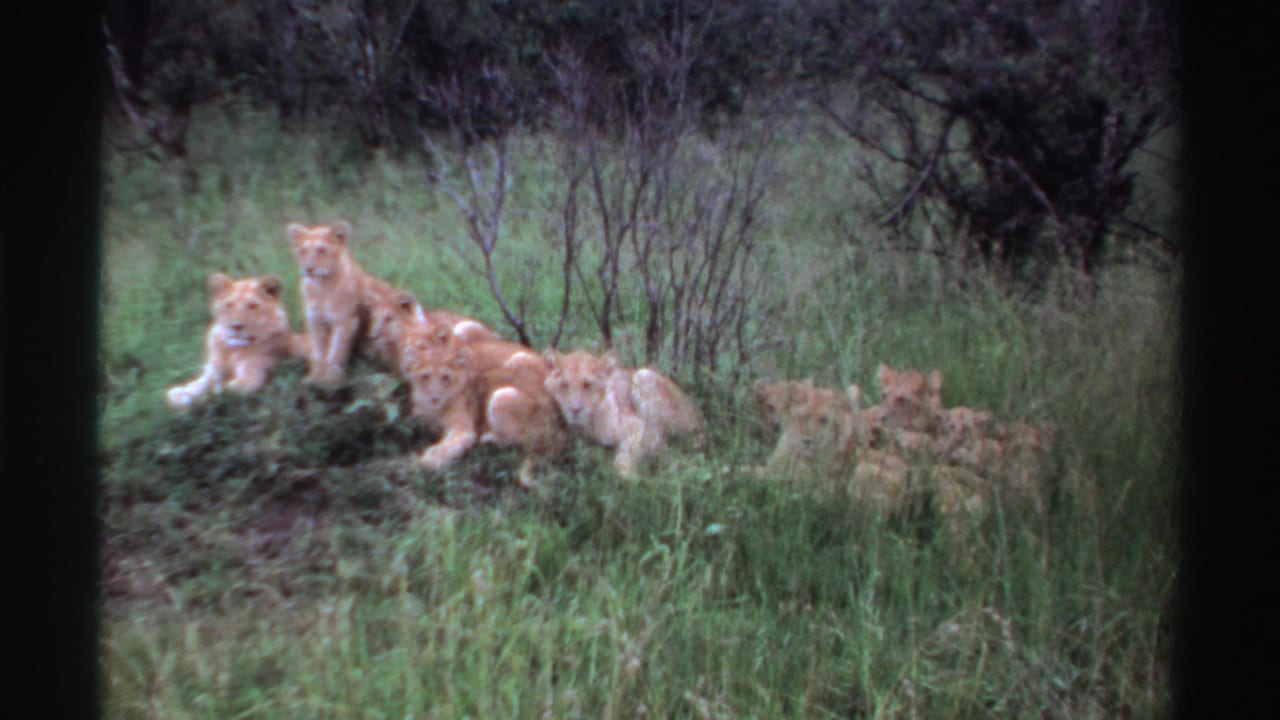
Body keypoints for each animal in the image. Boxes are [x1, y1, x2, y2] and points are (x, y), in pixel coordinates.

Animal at [165, 273, 307, 409]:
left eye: (252, 306)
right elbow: (200, 385)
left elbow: (219, 391)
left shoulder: (251, 379)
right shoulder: (212, 371)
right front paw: (179, 394)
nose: (236, 326)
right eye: (229, 305)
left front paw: (196, 401)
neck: (231, 348)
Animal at [288, 221, 401, 383]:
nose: (308, 269)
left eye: (321, 250)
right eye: (303, 251)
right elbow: (319, 351)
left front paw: (331, 378)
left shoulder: (345, 320)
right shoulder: (315, 319)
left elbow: (335, 351)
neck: (321, 287)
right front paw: (315, 377)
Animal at [403, 334, 565, 487]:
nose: (435, 398)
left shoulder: (464, 430)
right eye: (425, 376)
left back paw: (488, 439)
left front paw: (426, 462)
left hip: (502, 394)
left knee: (524, 443)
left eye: (445, 378)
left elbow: (447, 447)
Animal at [543, 350, 705, 478]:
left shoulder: (640, 428)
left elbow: (629, 449)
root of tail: (697, 414)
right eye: (564, 385)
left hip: (644, 376)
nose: (575, 409)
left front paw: (628, 475)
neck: (587, 424)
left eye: (587, 385)